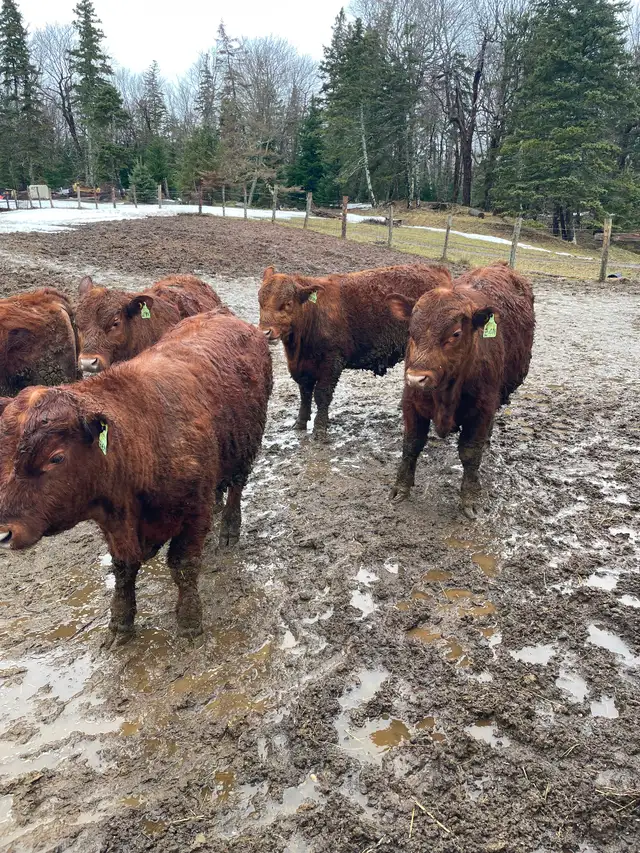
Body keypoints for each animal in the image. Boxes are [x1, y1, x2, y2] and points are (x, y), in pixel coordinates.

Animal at [0, 309, 272, 646]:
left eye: (56, 457)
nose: (4, 532)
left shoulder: (193, 512)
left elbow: (183, 567)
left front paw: (189, 621)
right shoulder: (115, 525)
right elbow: (123, 570)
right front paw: (120, 624)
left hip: (246, 448)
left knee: (235, 488)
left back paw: (229, 530)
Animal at [258, 264, 452, 439]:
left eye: (287, 303)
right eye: (260, 301)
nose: (265, 332)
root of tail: (437, 269)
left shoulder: (332, 361)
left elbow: (322, 394)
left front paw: (319, 430)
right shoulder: (302, 366)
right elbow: (304, 394)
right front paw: (300, 423)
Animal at [387, 262, 535, 518]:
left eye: (455, 334)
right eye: (410, 331)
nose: (416, 378)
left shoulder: (483, 408)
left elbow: (470, 453)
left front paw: (471, 498)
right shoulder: (411, 402)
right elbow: (411, 444)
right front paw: (400, 488)